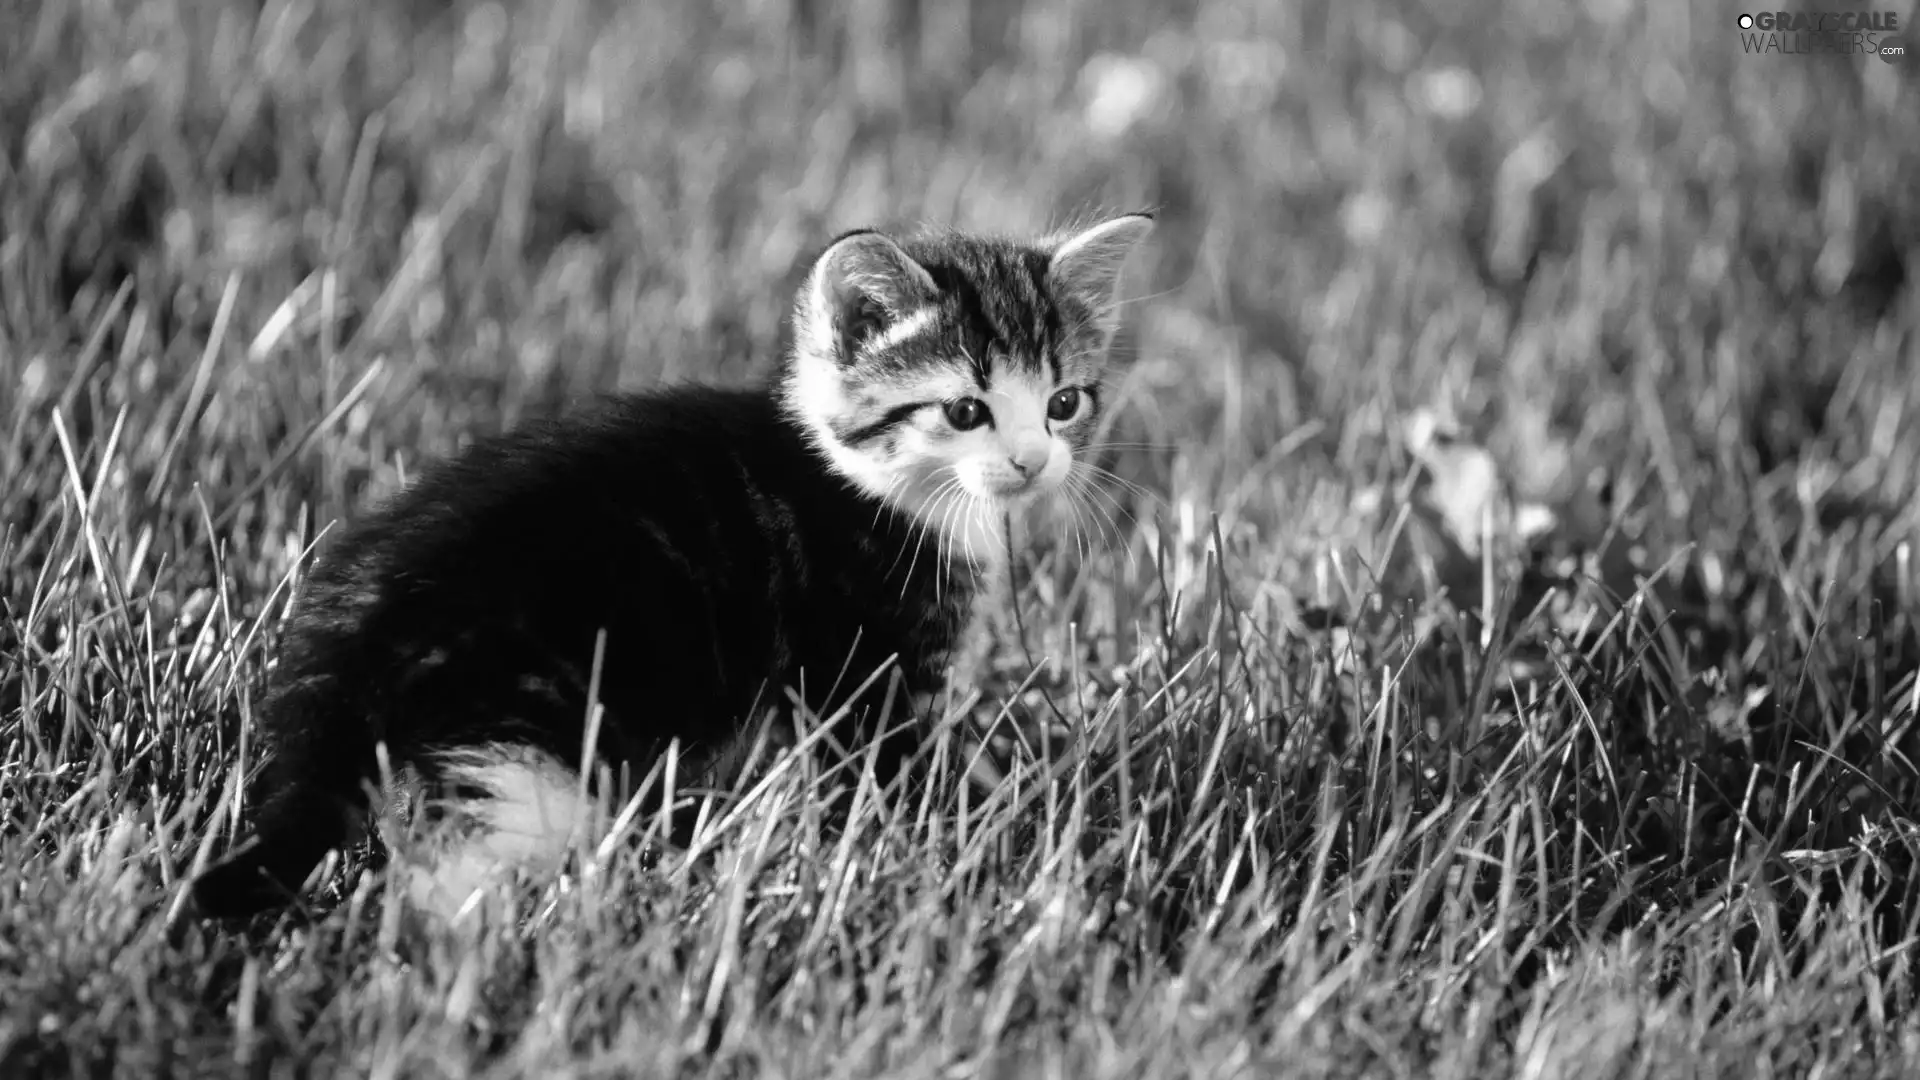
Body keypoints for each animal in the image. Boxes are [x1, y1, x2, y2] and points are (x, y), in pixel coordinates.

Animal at [191, 212, 1152, 914]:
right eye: (964, 411)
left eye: (1065, 403)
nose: (1034, 462)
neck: (860, 483)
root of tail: (336, 673)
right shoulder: (861, 663)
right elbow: (890, 765)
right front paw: (961, 837)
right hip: (529, 747)